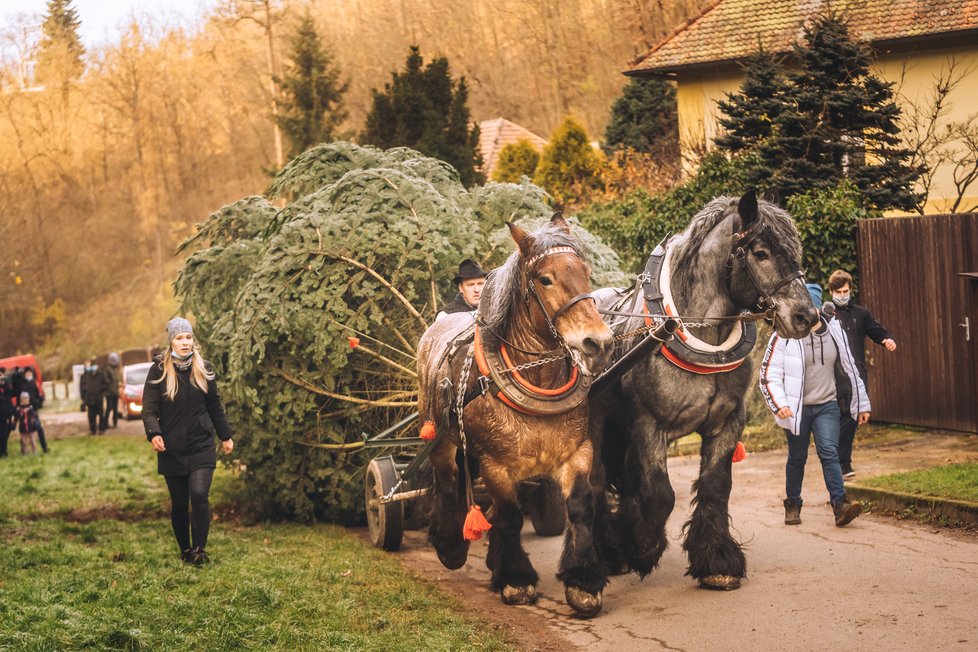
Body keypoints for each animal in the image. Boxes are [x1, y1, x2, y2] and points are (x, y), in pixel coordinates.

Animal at [416, 214, 612, 616]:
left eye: (585, 272)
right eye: (545, 279)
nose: (598, 342)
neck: (535, 377)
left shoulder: (576, 452)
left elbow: (580, 506)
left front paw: (583, 581)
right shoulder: (496, 464)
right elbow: (507, 516)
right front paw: (517, 579)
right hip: (440, 436)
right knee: (448, 482)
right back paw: (450, 545)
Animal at [592, 190, 812, 592]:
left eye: (796, 250)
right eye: (761, 253)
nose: (808, 317)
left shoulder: (728, 421)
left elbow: (715, 485)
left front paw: (716, 559)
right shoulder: (649, 423)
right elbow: (660, 493)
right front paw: (640, 547)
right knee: (597, 483)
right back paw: (611, 550)